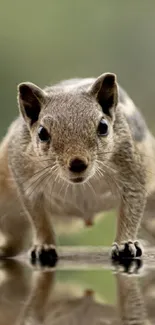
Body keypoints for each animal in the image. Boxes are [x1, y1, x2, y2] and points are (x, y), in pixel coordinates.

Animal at [0, 72, 155, 262]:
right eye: (42, 133)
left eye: (103, 126)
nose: (77, 163)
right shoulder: (27, 183)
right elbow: (39, 219)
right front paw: (44, 246)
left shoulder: (131, 174)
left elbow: (131, 211)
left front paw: (126, 244)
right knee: (15, 241)